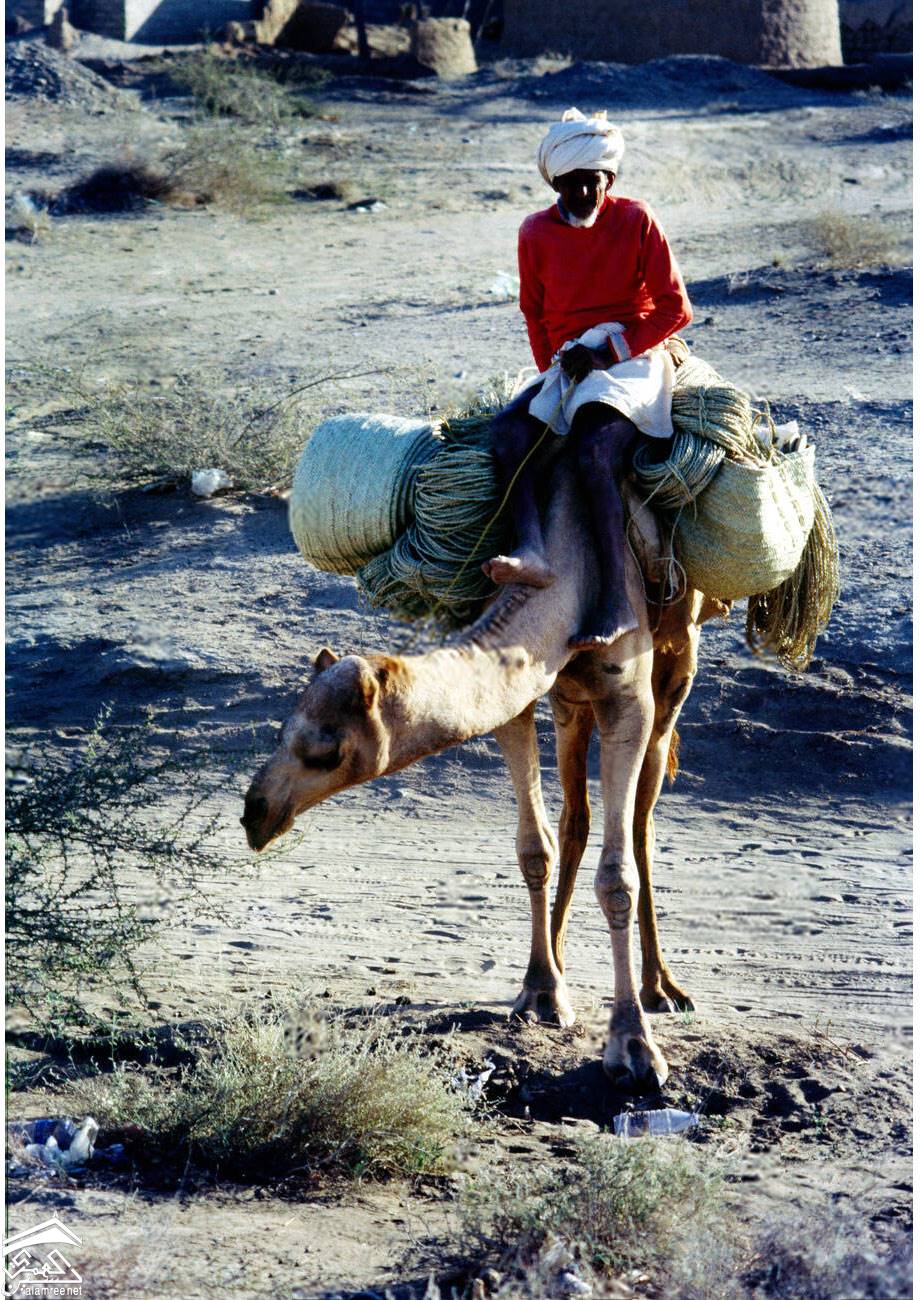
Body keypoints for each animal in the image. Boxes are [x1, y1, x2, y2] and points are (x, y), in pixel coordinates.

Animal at [242, 455, 726, 1087]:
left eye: (326, 749)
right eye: (282, 731)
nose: (256, 812)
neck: (564, 577)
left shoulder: (629, 696)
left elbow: (617, 874)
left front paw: (635, 1048)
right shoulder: (518, 697)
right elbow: (534, 848)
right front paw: (542, 992)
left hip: (675, 671)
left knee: (641, 822)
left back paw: (662, 989)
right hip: (569, 701)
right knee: (575, 815)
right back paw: (562, 959)